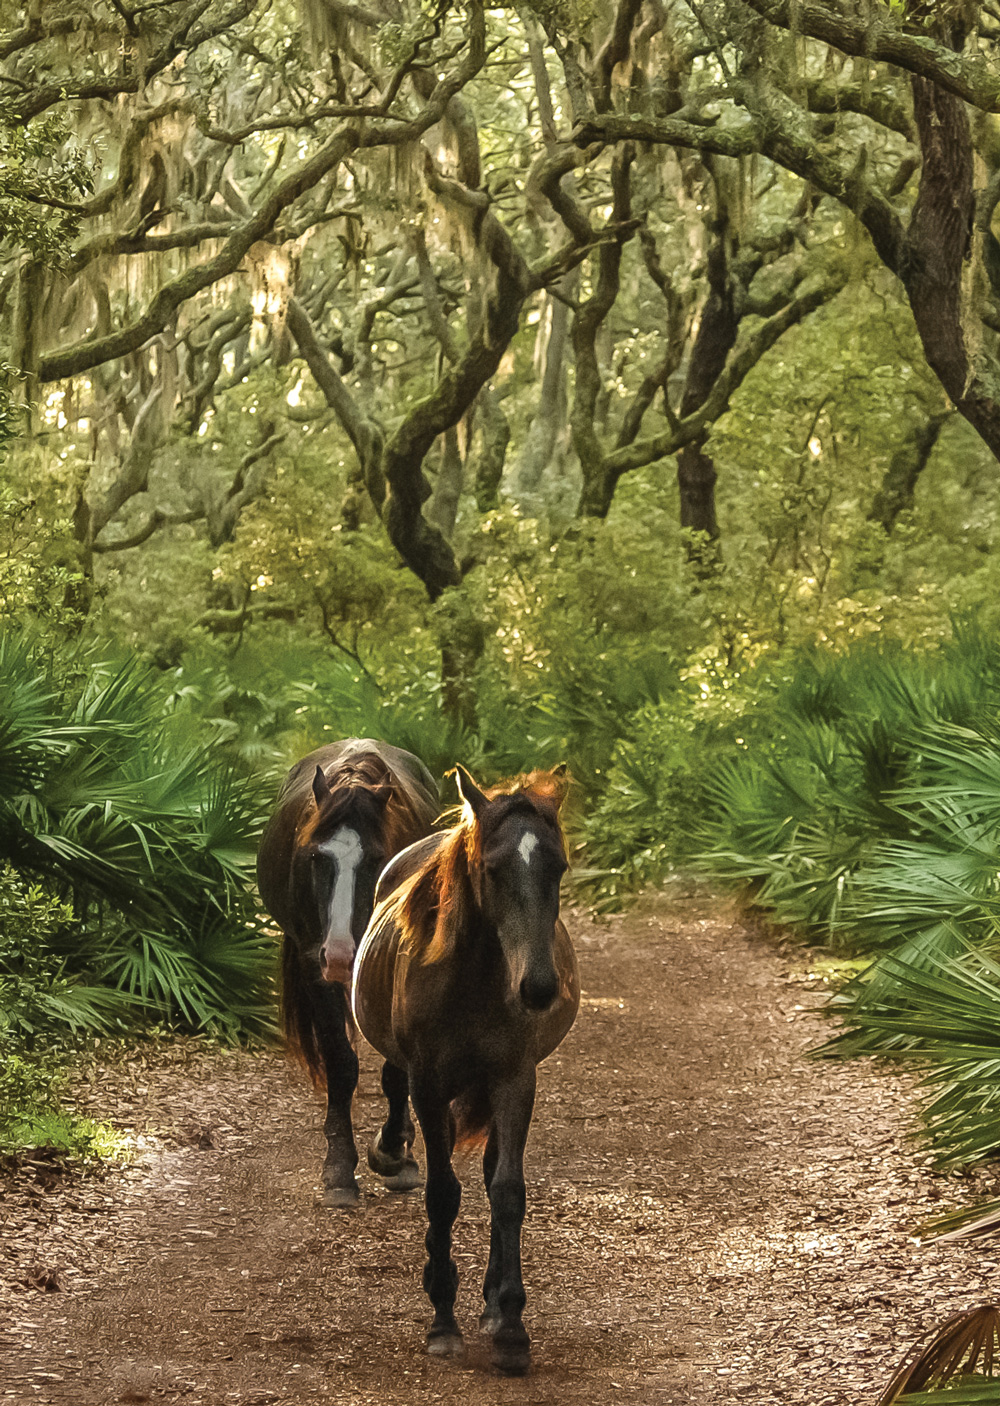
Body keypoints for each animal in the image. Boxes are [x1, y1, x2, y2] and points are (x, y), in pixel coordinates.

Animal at [256, 738, 438, 1206]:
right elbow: (340, 1063)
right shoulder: (313, 968)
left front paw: (394, 1153)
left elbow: (396, 1067)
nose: (340, 956)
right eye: (316, 858)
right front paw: (339, 1170)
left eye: (377, 859)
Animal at [352, 763, 580, 1374]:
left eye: (558, 867)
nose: (539, 987)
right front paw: (442, 1319)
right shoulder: (429, 1086)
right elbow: (442, 1193)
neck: (474, 980)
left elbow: (507, 1191)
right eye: (494, 870)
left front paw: (511, 1325)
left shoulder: (515, 1081)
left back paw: (494, 1308)